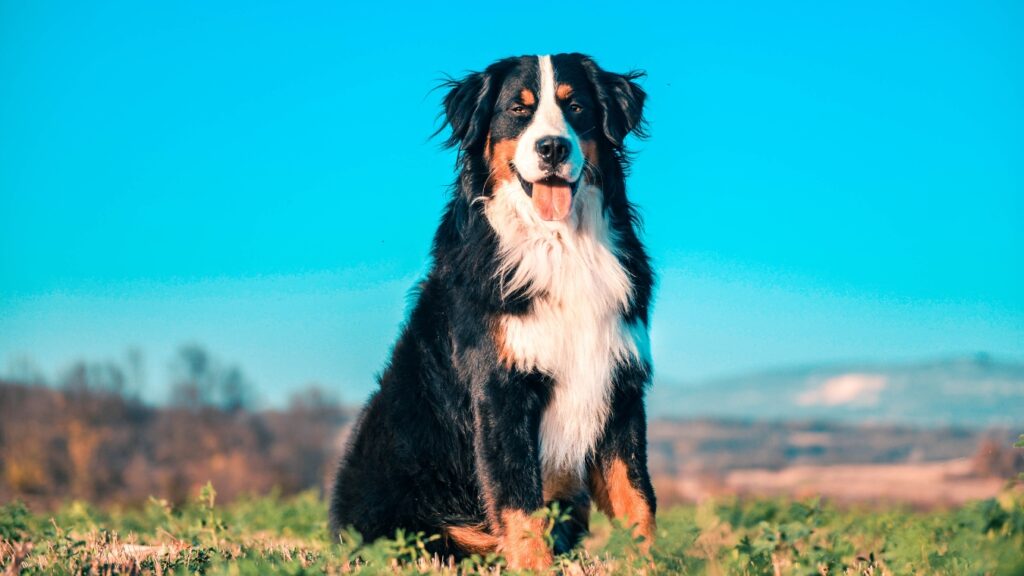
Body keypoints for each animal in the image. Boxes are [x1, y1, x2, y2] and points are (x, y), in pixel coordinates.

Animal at [331, 53, 659, 569]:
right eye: (518, 110)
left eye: (576, 106)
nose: (552, 147)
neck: (560, 246)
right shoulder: (500, 391)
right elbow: (519, 504)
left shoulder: (620, 387)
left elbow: (637, 500)